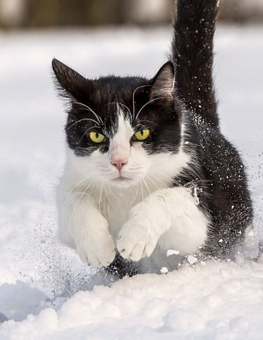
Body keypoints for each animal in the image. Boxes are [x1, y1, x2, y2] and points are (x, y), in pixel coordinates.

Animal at [52, 0, 256, 278]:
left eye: (141, 132)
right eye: (96, 134)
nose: (119, 161)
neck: (125, 194)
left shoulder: (202, 213)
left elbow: (169, 199)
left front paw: (135, 237)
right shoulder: (71, 182)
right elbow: (74, 200)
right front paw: (98, 246)